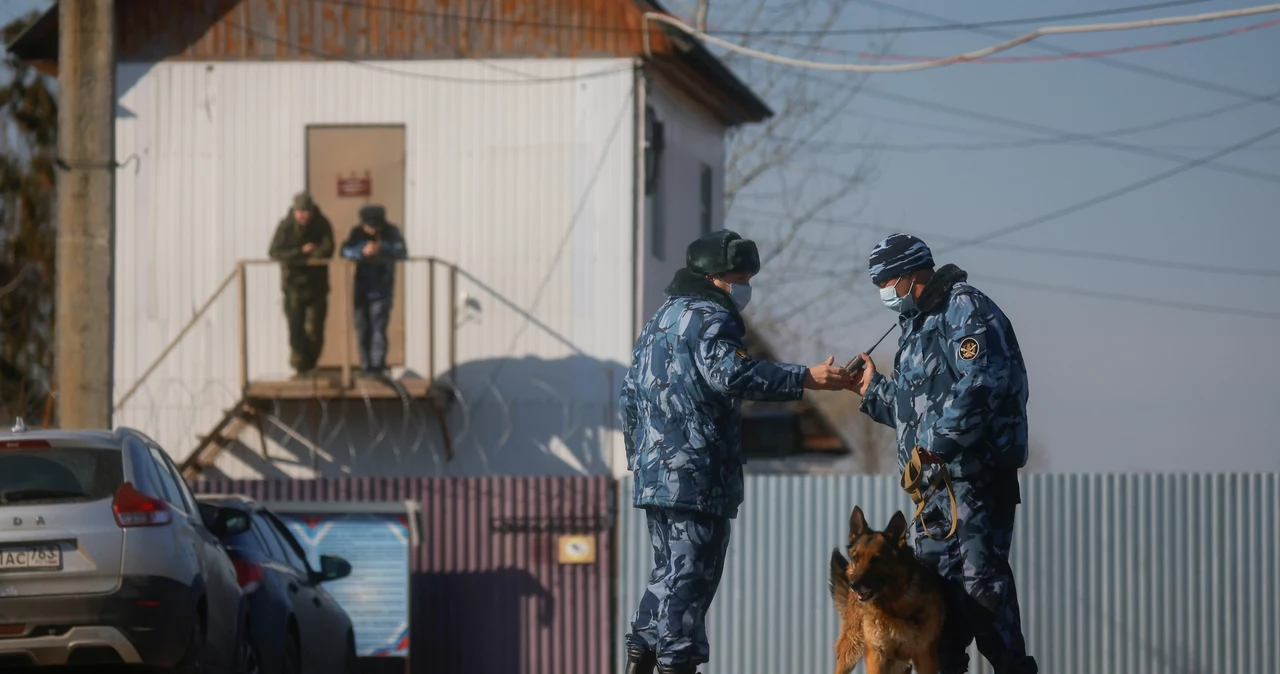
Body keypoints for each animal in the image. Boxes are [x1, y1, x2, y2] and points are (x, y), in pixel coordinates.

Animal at [829, 506, 952, 674]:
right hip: (851, 649)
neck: (893, 603)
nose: (852, 585)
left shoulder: (925, 656)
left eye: (876, 560)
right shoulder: (876, 655)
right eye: (856, 558)